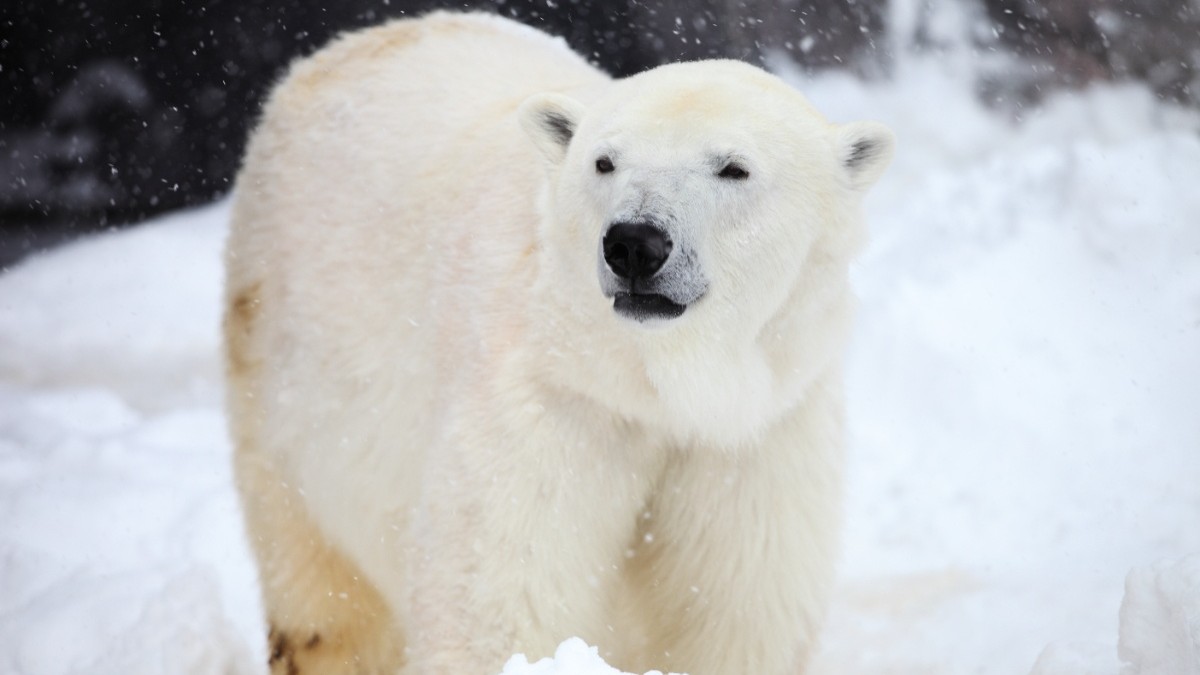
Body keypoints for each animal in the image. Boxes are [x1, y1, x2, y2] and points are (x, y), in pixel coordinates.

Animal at [223, 11, 893, 675]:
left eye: (734, 167)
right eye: (604, 162)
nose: (635, 244)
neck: (655, 385)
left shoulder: (753, 436)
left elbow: (736, 611)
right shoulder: (549, 407)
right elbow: (502, 600)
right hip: (283, 355)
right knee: (322, 591)